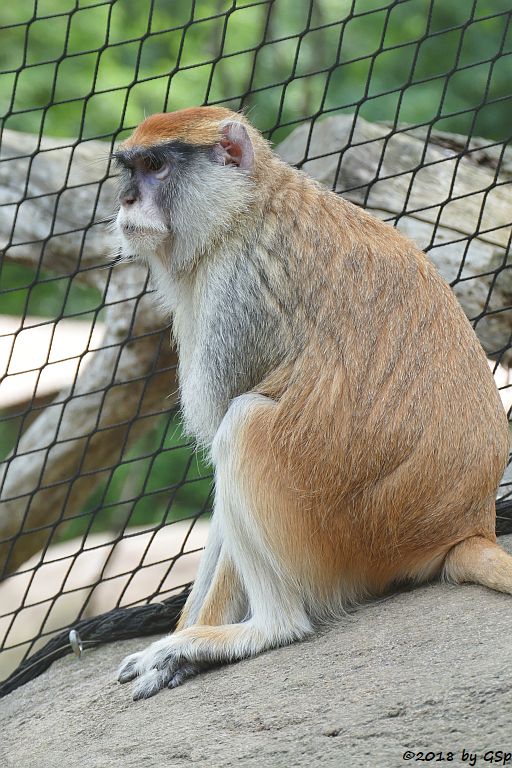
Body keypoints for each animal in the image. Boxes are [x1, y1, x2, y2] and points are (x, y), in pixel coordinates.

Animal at [115, 105, 512, 700]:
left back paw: (265, 630)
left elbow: (224, 422)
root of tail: (467, 525)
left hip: (343, 530)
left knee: (243, 424)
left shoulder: (236, 293)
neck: (245, 203)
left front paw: (185, 645)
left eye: (156, 166)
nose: (125, 200)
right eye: (129, 168)